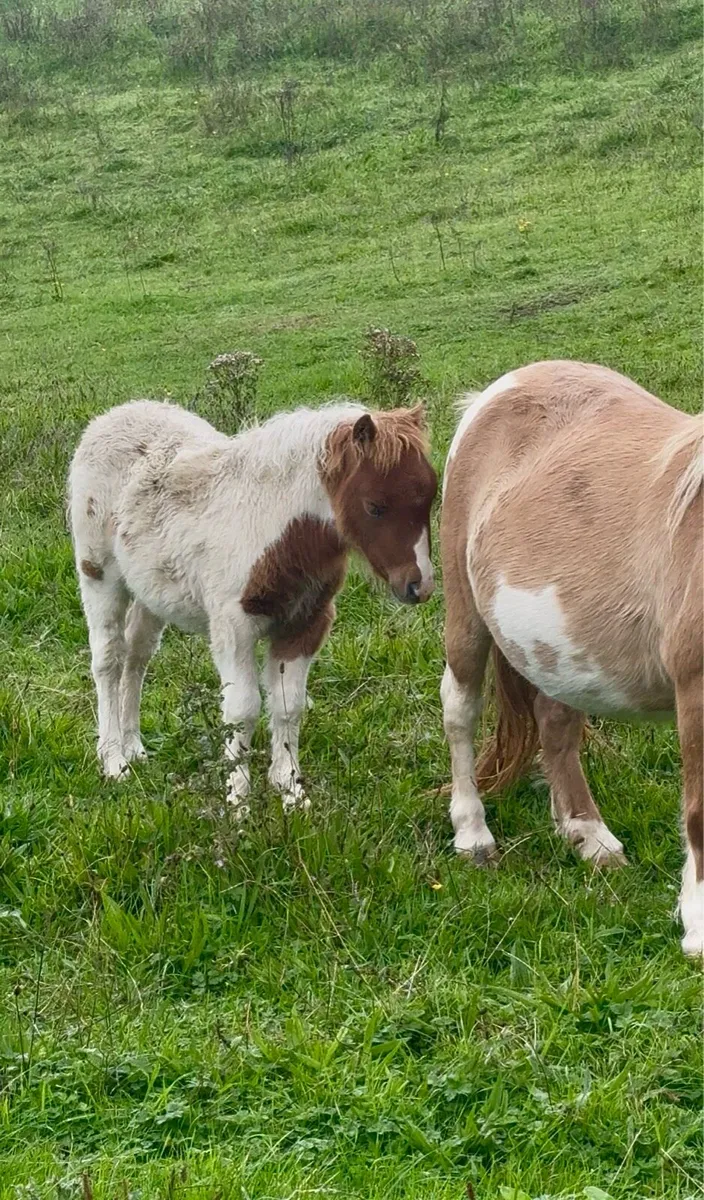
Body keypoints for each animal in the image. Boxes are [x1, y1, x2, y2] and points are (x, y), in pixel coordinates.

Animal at [69, 398, 437, 813]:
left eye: (431, 496)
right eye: (375, 506)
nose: (418, 585)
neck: (276, 528)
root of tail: (113, 417)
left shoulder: (305, 624)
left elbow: (289, 705)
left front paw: (290, 790)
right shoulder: (234, 626)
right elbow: (242, 709)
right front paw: (238, 800)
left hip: (151, 593)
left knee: (137, 657)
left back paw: (134, 747)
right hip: (99, 576)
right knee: (109, 661)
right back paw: (114, 760)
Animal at [440, 360, 703, 956]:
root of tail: (499, 389)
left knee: (555, 723)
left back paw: (586, 835)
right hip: (465, 617)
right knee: (460, 710)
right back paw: (473, 835)